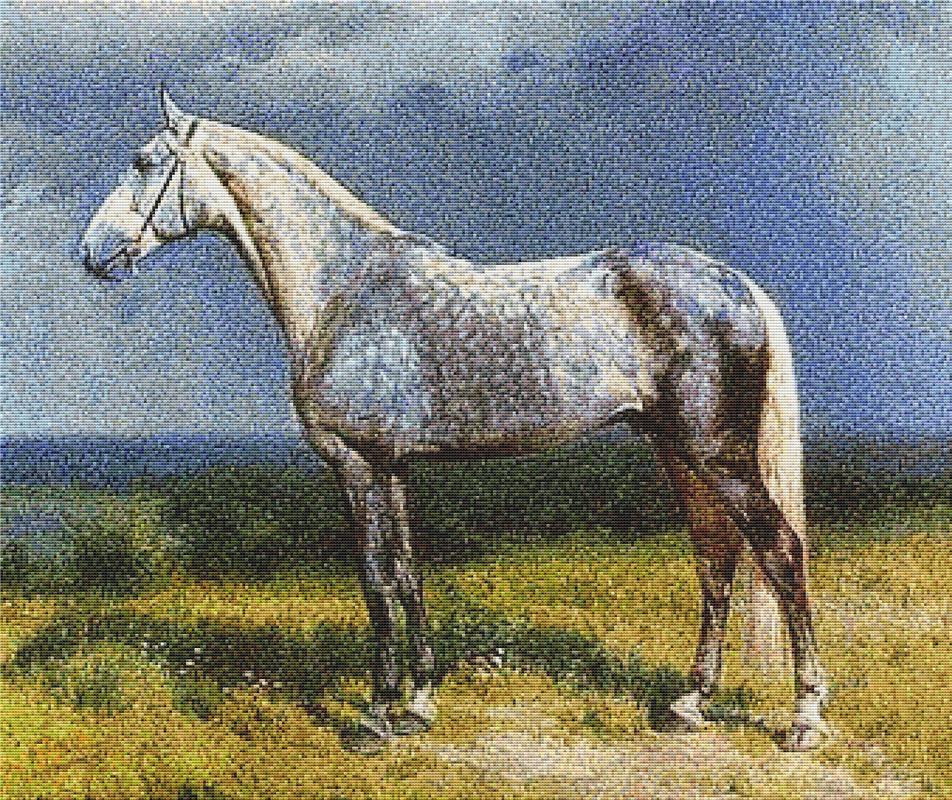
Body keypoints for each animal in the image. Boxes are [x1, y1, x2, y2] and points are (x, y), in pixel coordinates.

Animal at [81, 89, 829, 752]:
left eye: (145, 162)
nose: (91, 251)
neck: (342, 288)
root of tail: (738, 284)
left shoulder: (355, 464)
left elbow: (374, 582)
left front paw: (376, 716)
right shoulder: (391, 467)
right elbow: (407, 576)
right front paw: (418, 704)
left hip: (719, 457)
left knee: (780, 552)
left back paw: (804, 719)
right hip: (679, 453)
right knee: (717, 559)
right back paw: (688, 703)